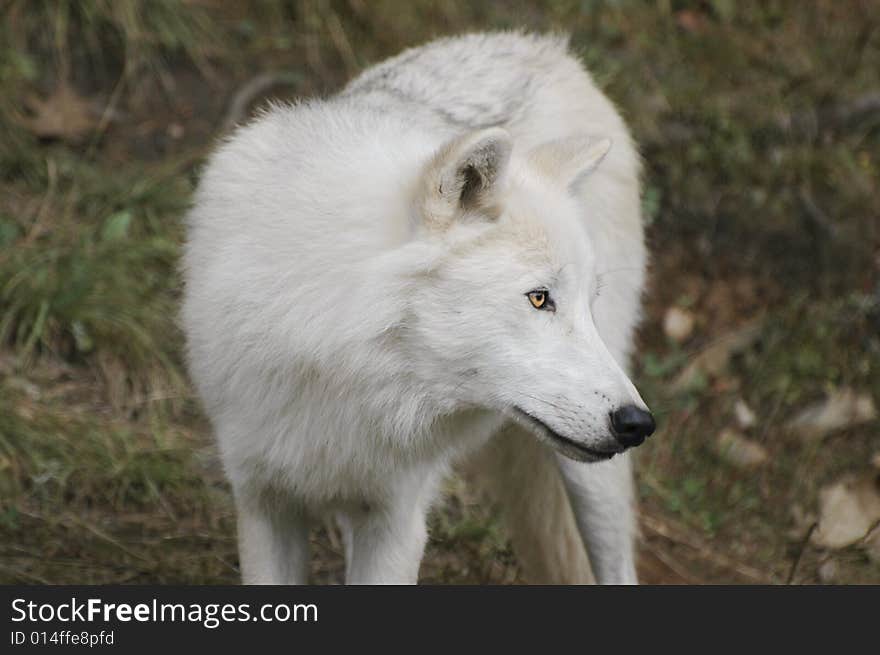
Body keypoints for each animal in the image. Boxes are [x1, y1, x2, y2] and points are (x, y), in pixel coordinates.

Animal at [182, 30, 656, 588]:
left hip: (594, 482)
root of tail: (547, 49)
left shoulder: (398, 520)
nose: (638, 423)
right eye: (539, 298)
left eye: (587, 302)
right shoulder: (263, 500)